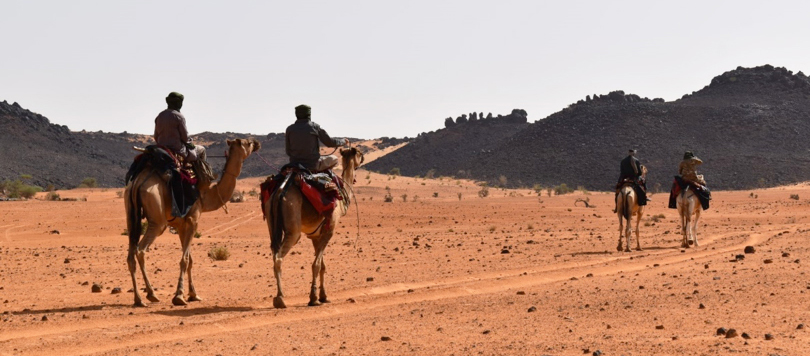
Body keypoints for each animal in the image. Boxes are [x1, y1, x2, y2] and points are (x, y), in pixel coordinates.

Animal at [123, 138, 258, 306]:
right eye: (247, 143)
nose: (257, 143)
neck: (206, 194)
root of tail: (138, 182)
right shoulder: (193, 221)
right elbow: (185, 259)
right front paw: (179, 296)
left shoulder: (181, 226)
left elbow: (190, 259)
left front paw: (193, 294)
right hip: (157, 220)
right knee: (140, 250)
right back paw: (151, 294)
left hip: (131, 216)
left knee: (130, 255)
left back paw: (138, 299)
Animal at [266, 146, 362, 308]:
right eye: (360, 153)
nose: (362, 158)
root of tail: (280, 191)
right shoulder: (329, 231)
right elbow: (316, 265)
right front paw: (314, 298)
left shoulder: (315, 235)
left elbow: (322, 266)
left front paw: (323, 296)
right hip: (293, 229)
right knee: (279, 258)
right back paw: (280, 298)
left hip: (271, 225)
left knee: (274, 255)